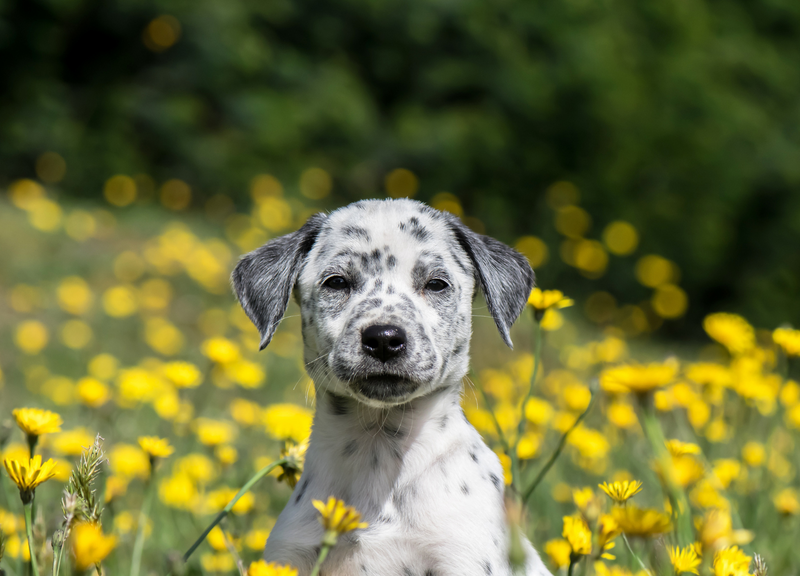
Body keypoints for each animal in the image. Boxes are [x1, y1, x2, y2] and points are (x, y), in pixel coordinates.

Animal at [233, 199, 552, 576]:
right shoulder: (288, 557)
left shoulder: (462, 558)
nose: (384, 338)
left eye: (437, 284)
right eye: (336, 282)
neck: (377, 449)